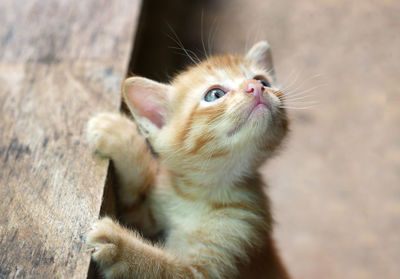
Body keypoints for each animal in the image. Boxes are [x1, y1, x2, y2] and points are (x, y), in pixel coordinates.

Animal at [86, 40, 290, 278]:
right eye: (215, 94)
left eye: (262, 80)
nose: (256, 87)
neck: (197, 194)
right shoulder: (145, 215)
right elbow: (135, 199)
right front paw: (119, 135)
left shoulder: (237, 239)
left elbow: (164, 268)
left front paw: (118, 244)